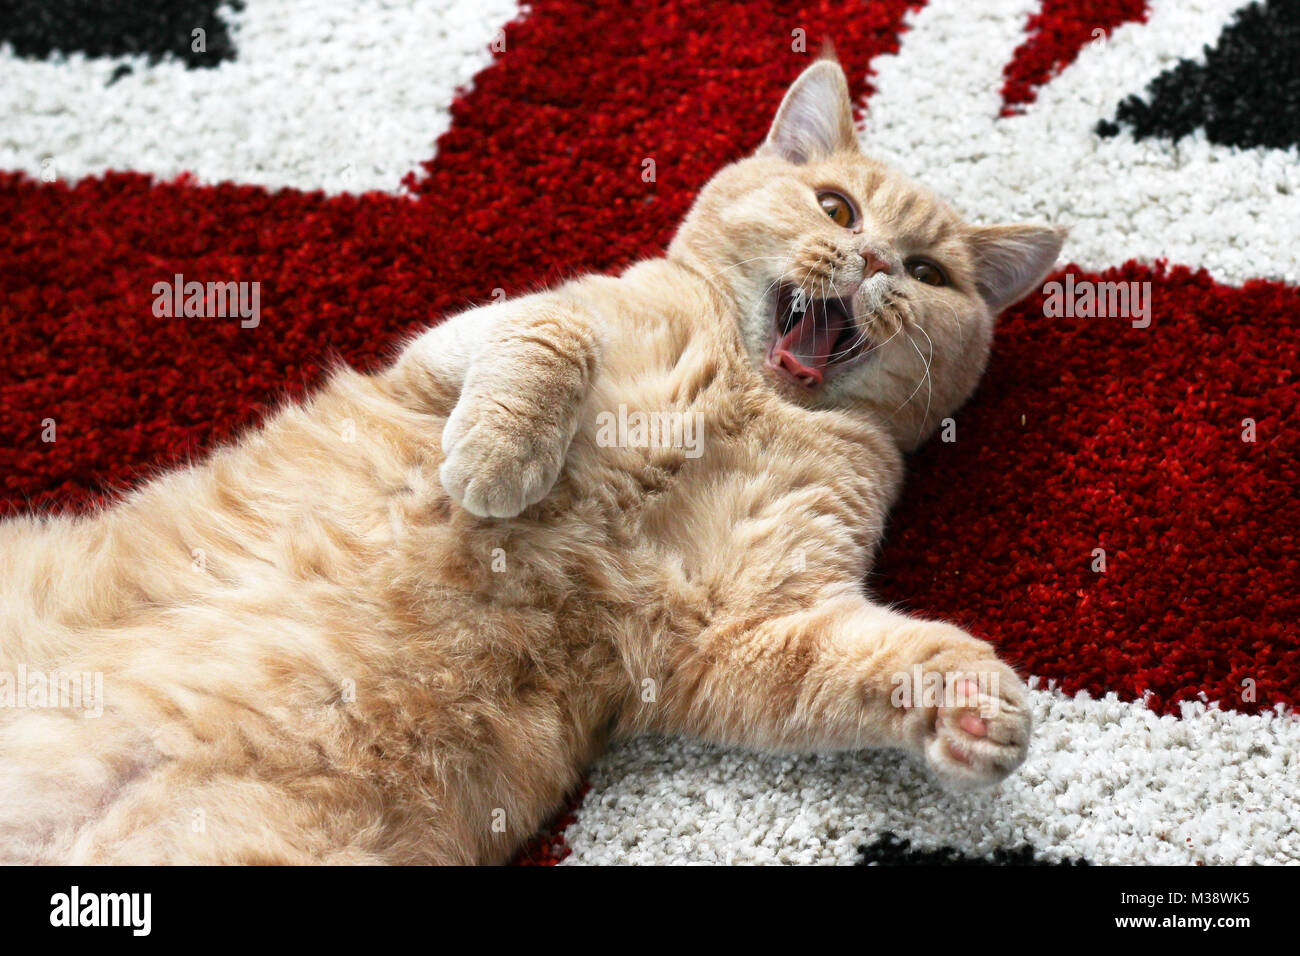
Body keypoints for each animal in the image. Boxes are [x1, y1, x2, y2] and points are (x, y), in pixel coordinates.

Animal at [2, 59, 1066, 868]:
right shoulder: (451, 353)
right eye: (838, 208)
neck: (751, 394)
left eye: (929, 274)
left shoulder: (748, 623)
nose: (880, 265)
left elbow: (873, 657)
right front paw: (502, 458)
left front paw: (976, 708)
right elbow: (556, 335)